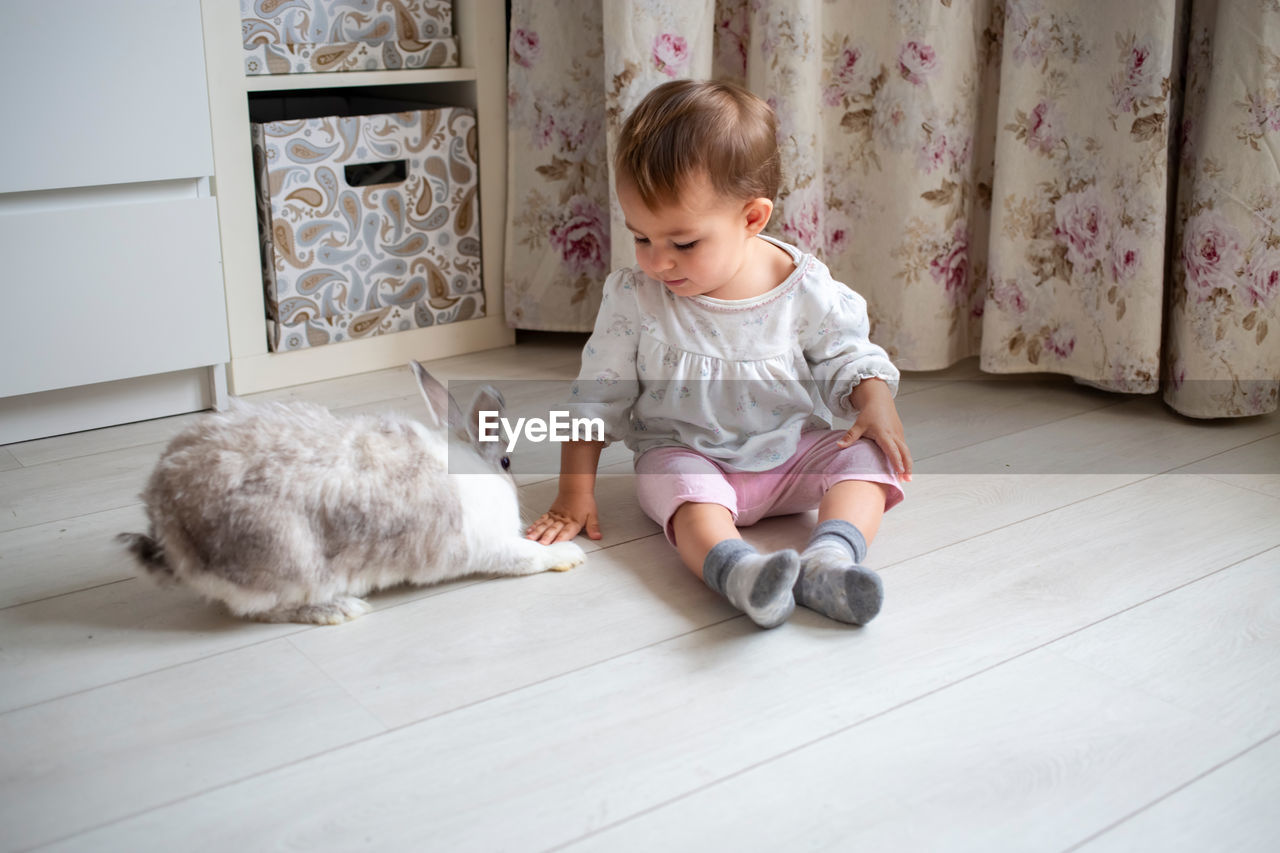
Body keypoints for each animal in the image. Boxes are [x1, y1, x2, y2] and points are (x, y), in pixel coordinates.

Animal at [115, 361, 586, 625]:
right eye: (506, 462)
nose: (512, 476)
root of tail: (167, 519)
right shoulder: (492, 547)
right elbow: (530, 556)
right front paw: (570, 555)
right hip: (284, 559)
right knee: (261, 608)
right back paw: (339, 610)